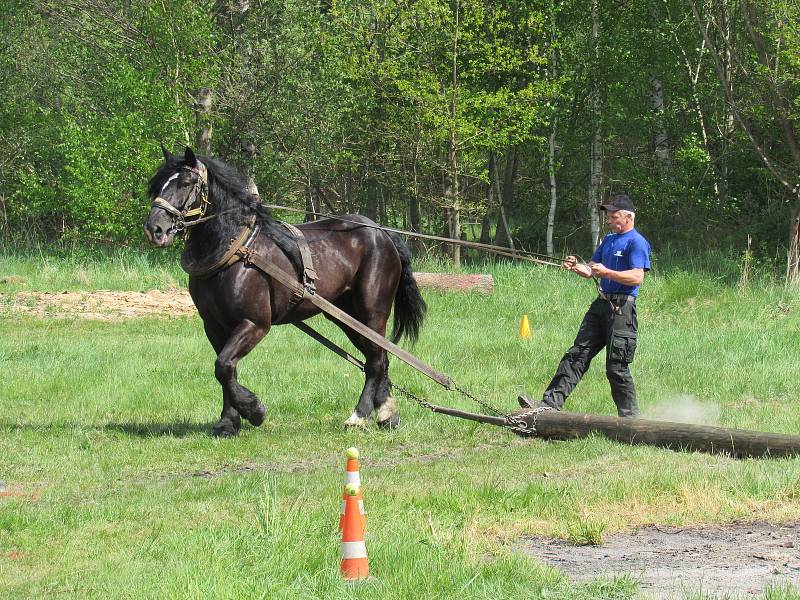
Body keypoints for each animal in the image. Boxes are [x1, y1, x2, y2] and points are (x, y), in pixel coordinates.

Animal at [147, 145, 428, 436]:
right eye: (158, 184)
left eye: (186, 183)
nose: (154, 228)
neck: (236, 251)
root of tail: (383, 234)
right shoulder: (214, 325)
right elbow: (226, 370)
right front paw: (228, 423)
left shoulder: (254, 323)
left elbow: (223, 367)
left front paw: (254, 410)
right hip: (345, 317)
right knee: (379, 357)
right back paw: (386, 413)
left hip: (372, 311)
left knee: (375, 360)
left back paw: (359, 415)